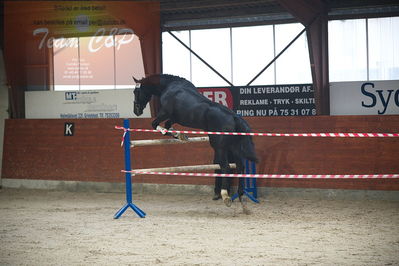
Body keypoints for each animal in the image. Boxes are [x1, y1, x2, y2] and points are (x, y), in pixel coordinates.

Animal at [134, 74, 260, 211]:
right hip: (234, 148)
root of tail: (234, 117)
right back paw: (241, 198)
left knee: (225, 166)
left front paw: (167, 132)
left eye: (136, 91)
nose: (136, 111)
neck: (170, 86)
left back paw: (225, 196)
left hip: (219, 147)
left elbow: (155, 124)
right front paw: (179, 135)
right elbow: (168, 124)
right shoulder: (175, 118)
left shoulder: (165, 113)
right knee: (240, 167)